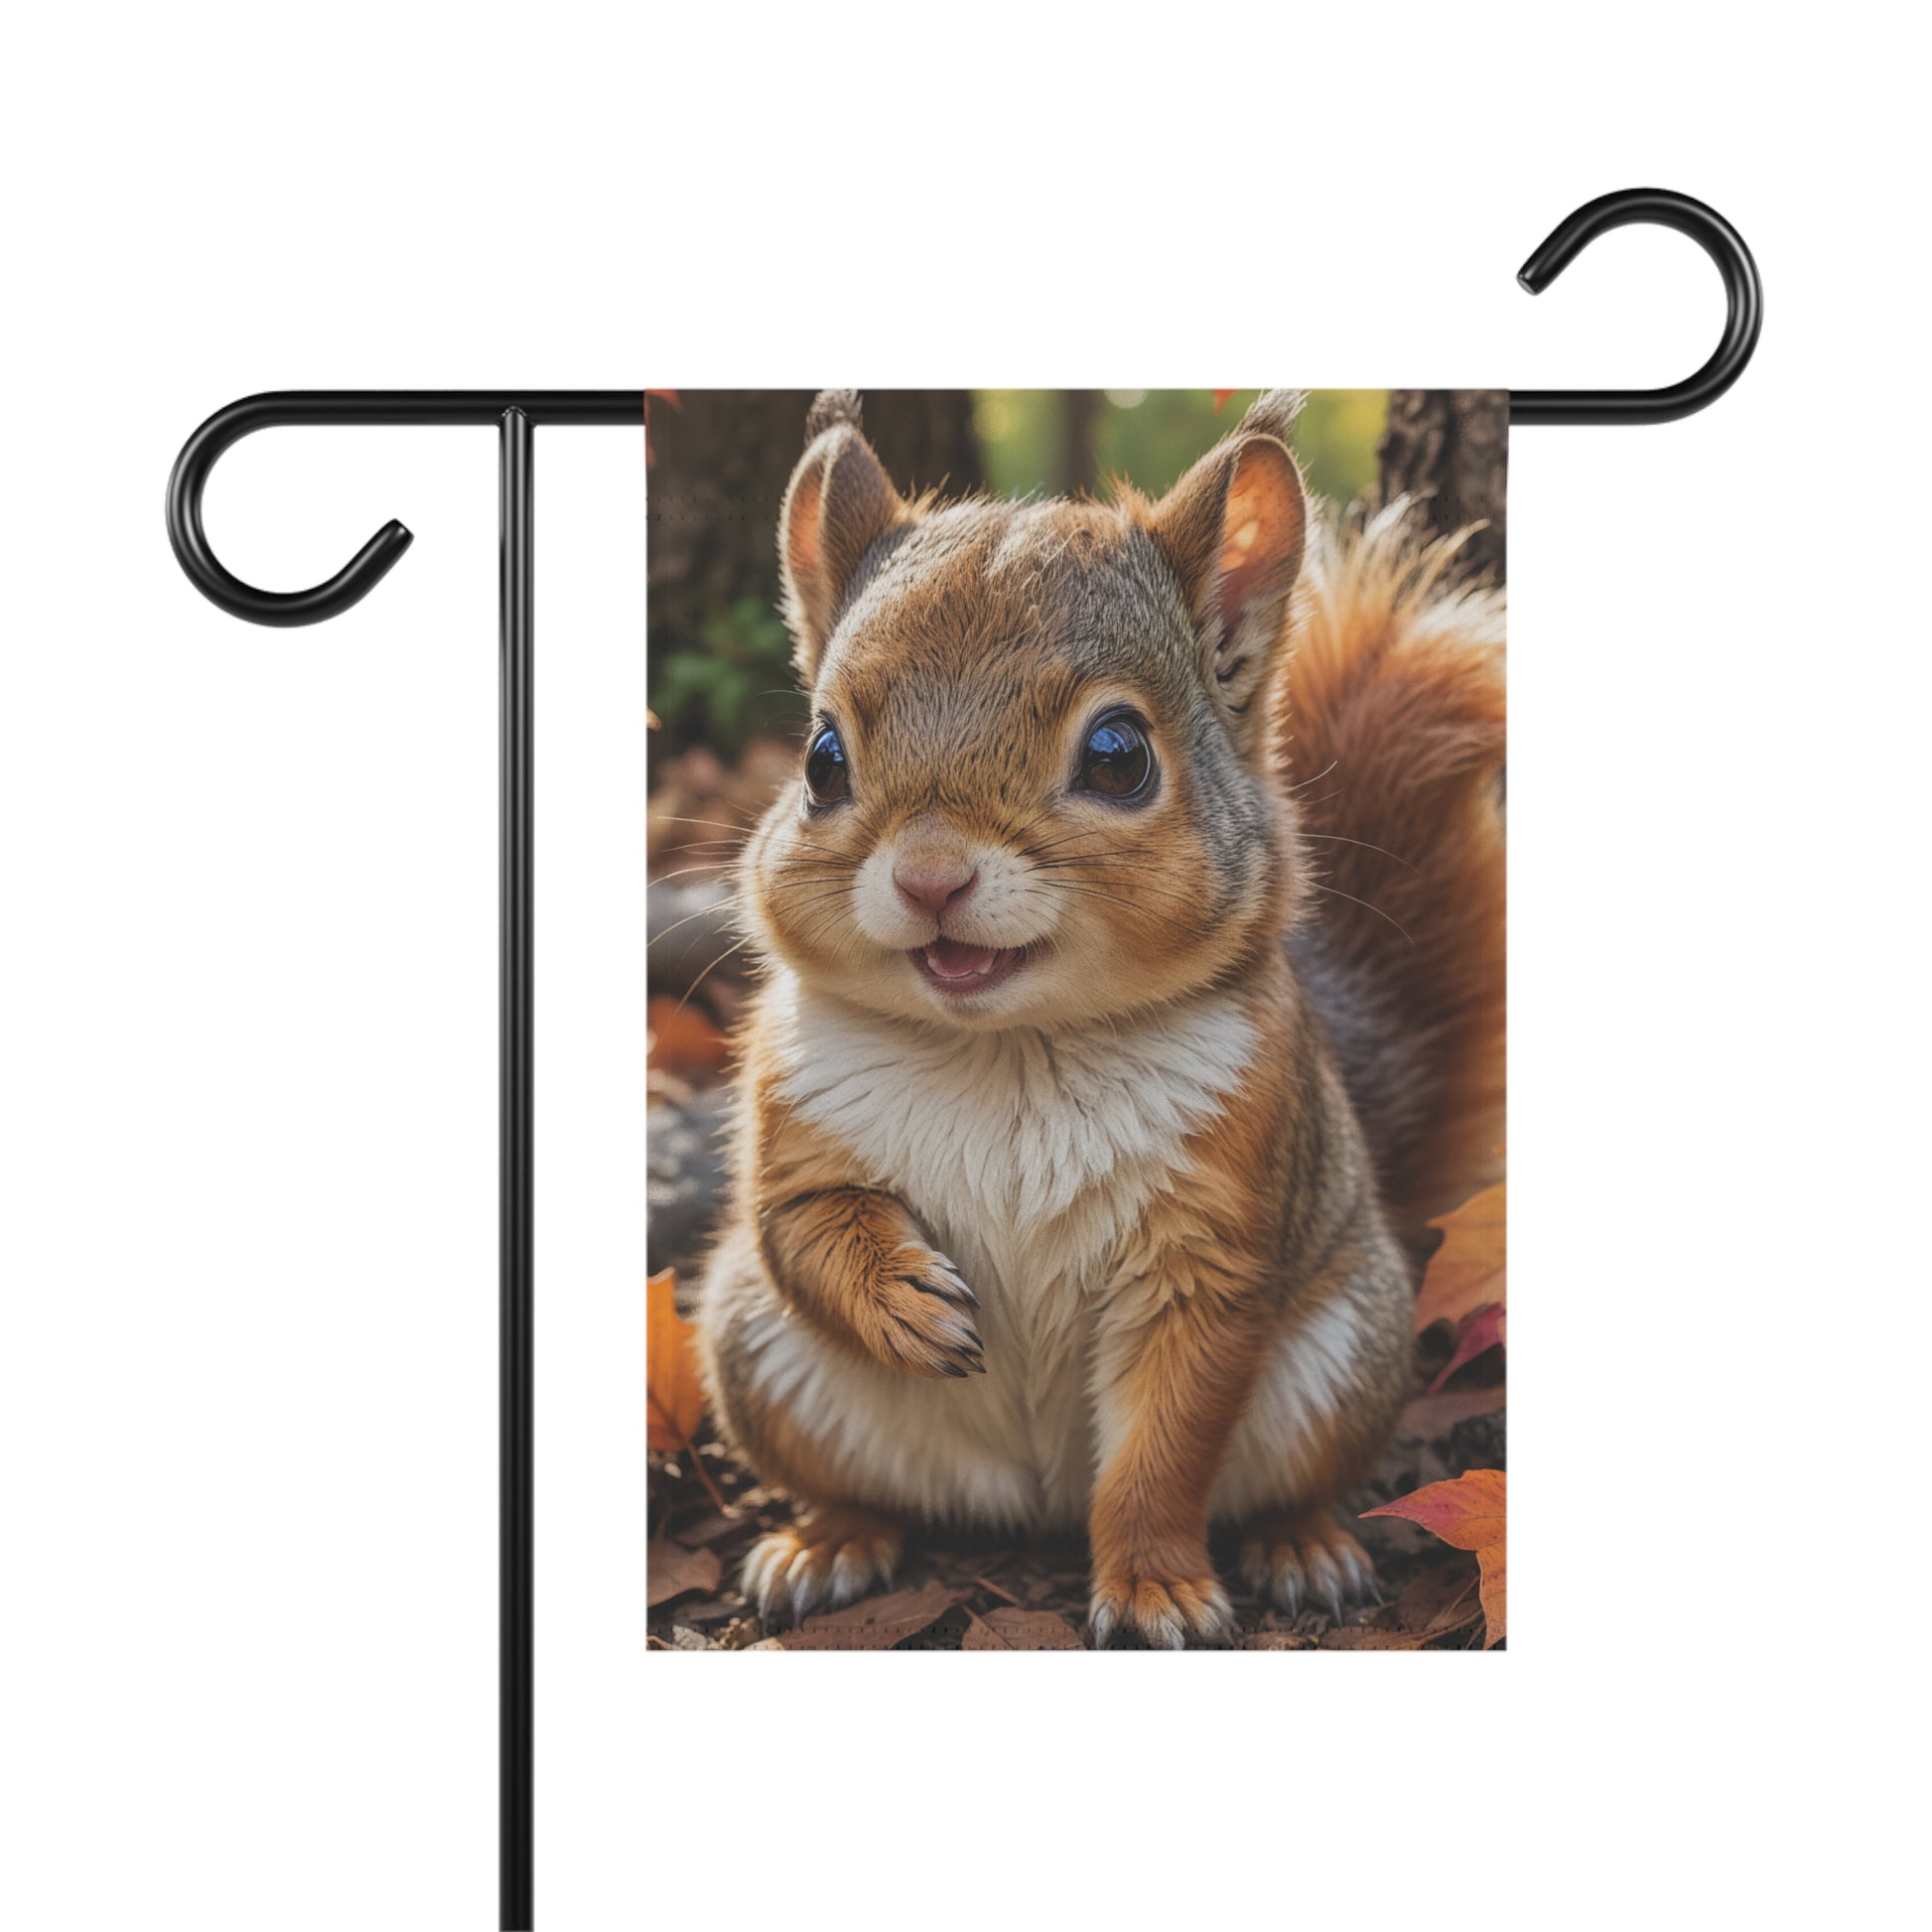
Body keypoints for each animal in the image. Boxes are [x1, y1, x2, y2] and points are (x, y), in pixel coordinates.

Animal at [693, 389, 1505, 1646]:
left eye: (1118, 755)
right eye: (822, 757)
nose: (928, 877)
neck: (1009, 1049)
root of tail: (1027, 1504)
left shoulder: (1210, 1238)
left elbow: (1165, 1446)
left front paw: (1155, 1586)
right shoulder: (790, 1121)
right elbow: (800, 1228)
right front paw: (899, 1296)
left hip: (1345, 1360)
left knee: (1293, 1479)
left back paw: (1305, 1544)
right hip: (753, 1353)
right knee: (850, 1479)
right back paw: (823, 1542)